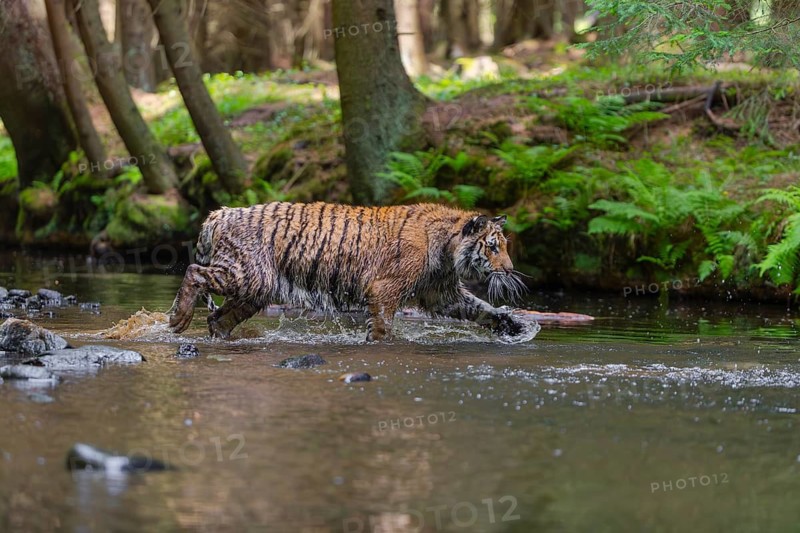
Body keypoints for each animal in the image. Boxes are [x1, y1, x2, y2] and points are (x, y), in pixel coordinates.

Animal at [168, 201, 529, 341]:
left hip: (256, 289)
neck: (447, 248)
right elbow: (382, 326)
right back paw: (178, 319)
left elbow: (480, 308)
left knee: (218, 319)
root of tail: (220, 213)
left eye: (503, 246)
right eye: (493, 247)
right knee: (194, 271)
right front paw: (378, 342)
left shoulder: (441, 293)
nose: (511, 270)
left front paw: (512, 325)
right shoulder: (385, 290)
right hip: (247, 275)